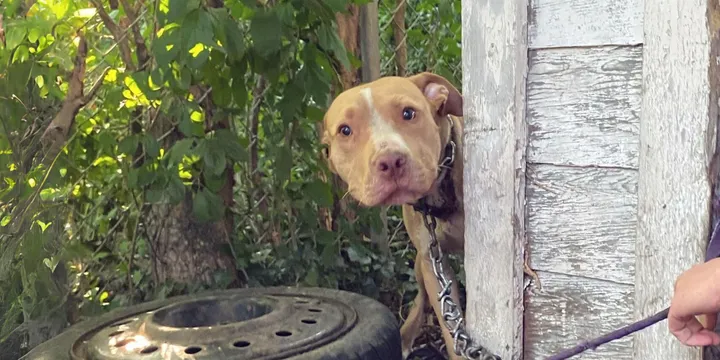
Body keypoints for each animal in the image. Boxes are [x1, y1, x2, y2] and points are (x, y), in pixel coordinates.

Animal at [322, 71, 466, 358]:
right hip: (421, 265)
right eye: (345, 130)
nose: (390, 161)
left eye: (408, 113)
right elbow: (450, 327)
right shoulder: (433, 261)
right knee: (423, 298)